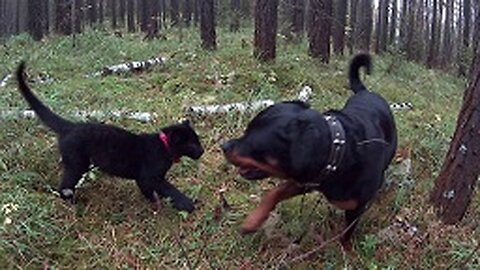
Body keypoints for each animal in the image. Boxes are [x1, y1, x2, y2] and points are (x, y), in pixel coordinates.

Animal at [15, 62, 203, 212]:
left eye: (198, 141)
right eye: (192, 143)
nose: (202, 151)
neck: (164, 146)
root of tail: (72, 126)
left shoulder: (144, 180)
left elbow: (150, 192)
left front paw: (155, 203)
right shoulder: (149, 176)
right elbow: (169, 190)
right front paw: (186, 204)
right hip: (76, 164)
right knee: (65, 186)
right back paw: (73, 203)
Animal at [221, 53, 398, 248]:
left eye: (253, 144)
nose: (224, 146)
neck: (339, 152)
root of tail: (366, 92)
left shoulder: (354, 207)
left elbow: (346, 234)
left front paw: (344, 251)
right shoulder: (306, 179)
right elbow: (274, 193)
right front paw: (253, 220)